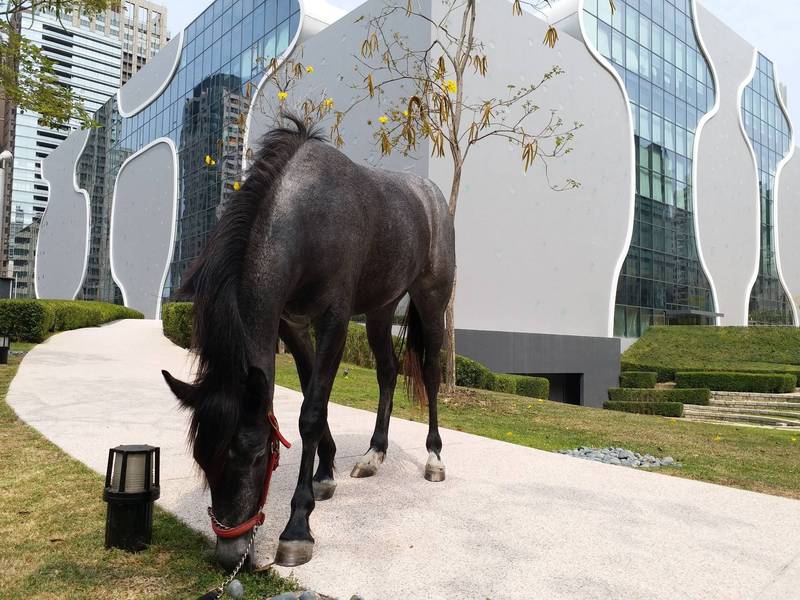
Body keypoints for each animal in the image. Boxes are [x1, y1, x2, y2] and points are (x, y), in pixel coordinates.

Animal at [161, 116, 456, 568]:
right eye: (201, 457)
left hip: (431, 301)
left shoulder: (333, 319)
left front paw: (298, 526)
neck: (309, 217)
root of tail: (432, 197)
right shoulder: (291, 324)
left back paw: (434, 458)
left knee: (430, 372)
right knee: (387, 371)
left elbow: (312, 413)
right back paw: (373, 455)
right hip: (380, 309)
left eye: (257, 454)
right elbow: (308, 392)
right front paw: (325, 473)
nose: (231, 555)